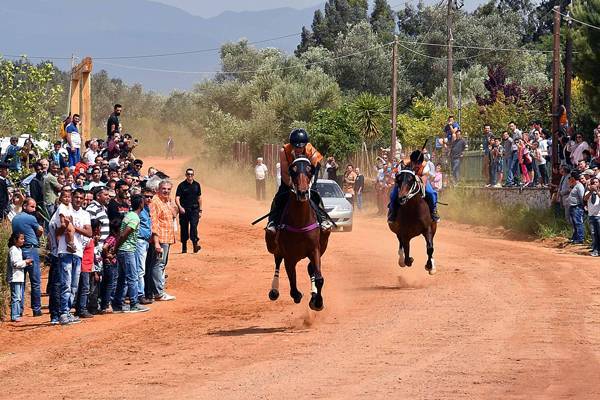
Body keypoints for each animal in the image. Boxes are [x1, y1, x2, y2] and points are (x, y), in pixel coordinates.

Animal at [264, 156, 330, 310]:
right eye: (293, 171)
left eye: (309, 170)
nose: (303, 192)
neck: (300, 222)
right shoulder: (289, 255)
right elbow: (292, 280)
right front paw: (297, 295)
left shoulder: (315, 249)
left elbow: (319, 277)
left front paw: (317, 302)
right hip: (275, 248)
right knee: (277, 262)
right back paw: (274, 290)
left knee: (310, 268)